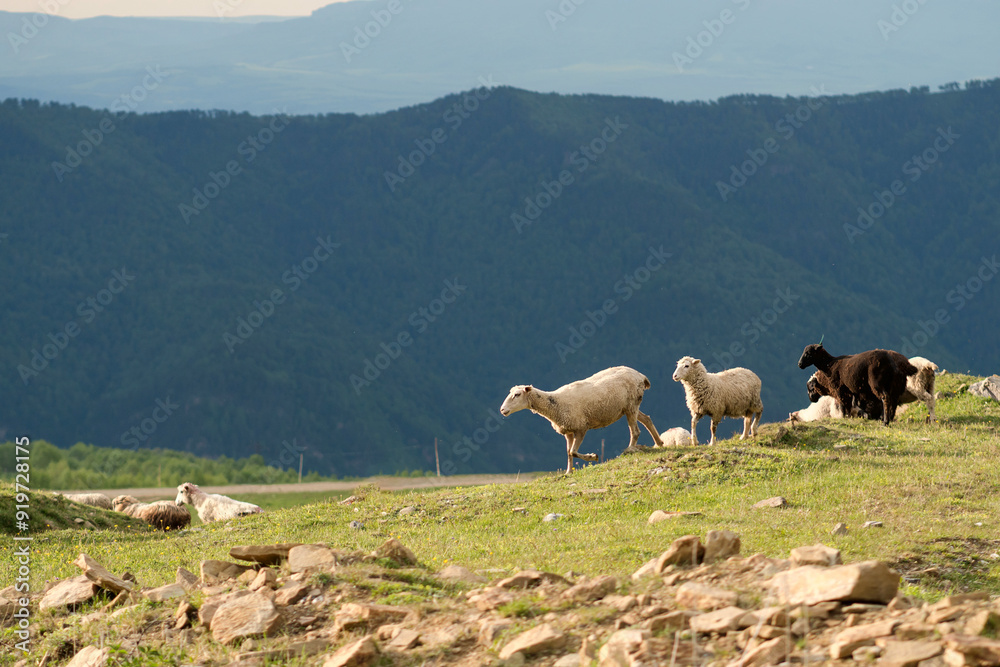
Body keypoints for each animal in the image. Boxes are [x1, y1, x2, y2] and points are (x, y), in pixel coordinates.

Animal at [499, 365, 664, 474]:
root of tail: (640, 375)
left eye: (517, 395)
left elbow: (573, 452)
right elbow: (568, 452)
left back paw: (630, 449)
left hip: (631, 404)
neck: (555, 404)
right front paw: (568, 472)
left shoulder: (581, 428)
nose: (502, 410)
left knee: (635, 431)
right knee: (646, 419)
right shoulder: (567, 431)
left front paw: (593, 457)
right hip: (629, 407)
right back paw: (659, 443)